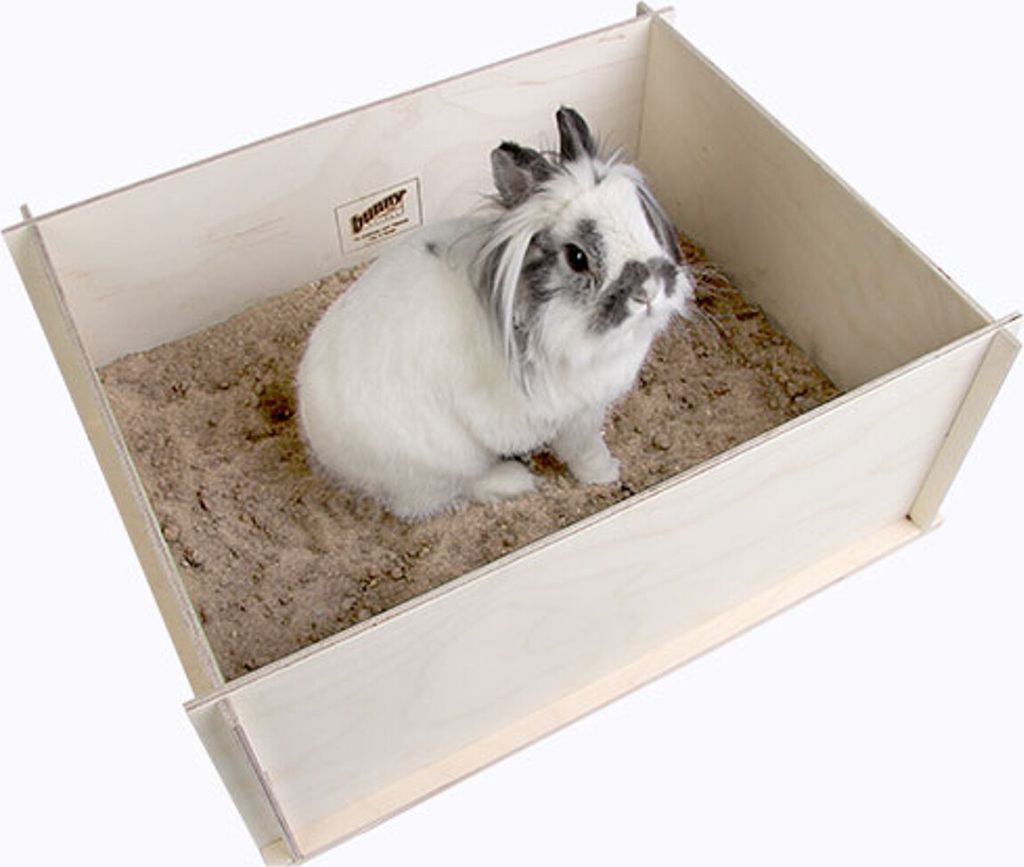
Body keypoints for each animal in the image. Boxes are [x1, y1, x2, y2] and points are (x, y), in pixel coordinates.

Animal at [297, 107, 694, 520]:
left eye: (642, 218)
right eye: (577, 257)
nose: (649, 291)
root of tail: (323, 445)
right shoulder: (573, 418)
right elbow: (584, 450)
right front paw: (606, 473)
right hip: (446, 463)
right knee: (442, 495)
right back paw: (512, 480)